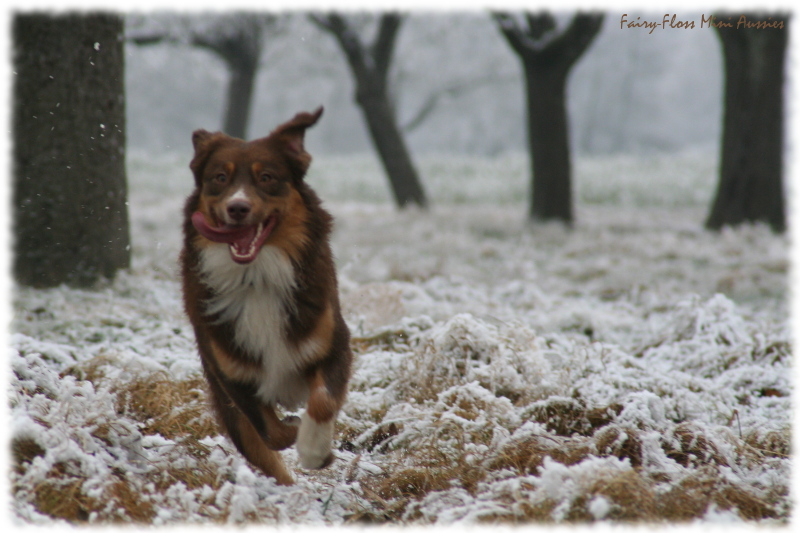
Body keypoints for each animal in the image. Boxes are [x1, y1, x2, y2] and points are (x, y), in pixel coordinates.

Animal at [181, 106, 350, 484]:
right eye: (219, 177)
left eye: (268, 177)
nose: (238, 208)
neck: (255, 277)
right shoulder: (232, 376)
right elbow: (272, 433)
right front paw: (296, 429)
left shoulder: (334, 346)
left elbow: (322, 402)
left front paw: (314, 448)